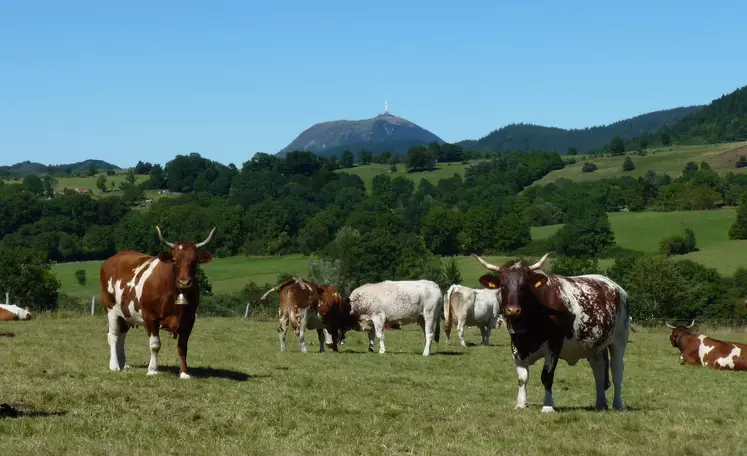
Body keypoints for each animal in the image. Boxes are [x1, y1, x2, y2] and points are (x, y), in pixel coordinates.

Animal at [100, 226, 216, 380]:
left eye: (194, 261)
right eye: (174, 260)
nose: (184, 282)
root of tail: (113, 259)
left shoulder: (189, 319)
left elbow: (182, 347)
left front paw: (184, 373)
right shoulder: (150, 317)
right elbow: (155, 345)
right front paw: (153, 370)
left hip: (126, 313)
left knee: (122, 336)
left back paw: (123, 364)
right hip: (111, 309)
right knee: (113, 336)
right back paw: (114, 365)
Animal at [474, 253, 632, 414]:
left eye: (524, 286)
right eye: (503, 285)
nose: (513, 310)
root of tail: (615, 286)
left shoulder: (554, 346)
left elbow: (547, 376)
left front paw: (548, 406)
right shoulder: (516, 346)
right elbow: (522, 378)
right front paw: (521, 404)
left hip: (619, 339)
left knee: (617, 370)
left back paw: (618, 404)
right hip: (595, 346)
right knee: (599, 370)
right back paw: (600, 403)